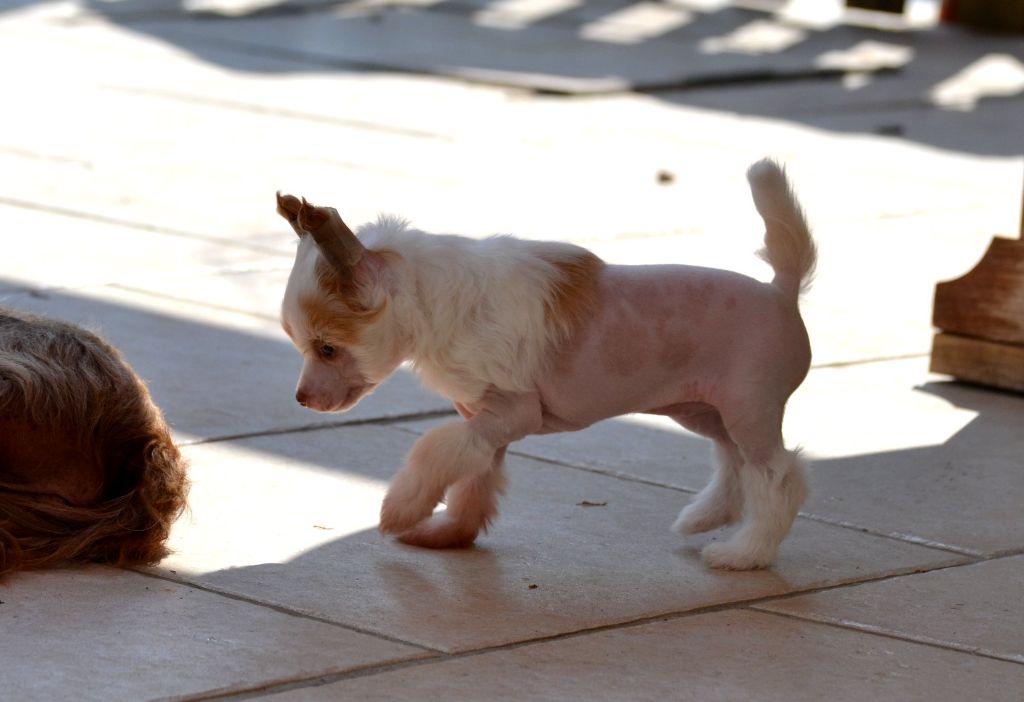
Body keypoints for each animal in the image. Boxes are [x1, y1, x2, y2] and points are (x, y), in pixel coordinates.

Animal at [277, 158, 816, 569]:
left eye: (326, 348)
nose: (300, 399)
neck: (427, 300)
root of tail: (781, 292)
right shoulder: (485, 424)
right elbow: (472, 478)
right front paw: (447, 533)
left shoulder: (511, 413)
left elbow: (435, 453)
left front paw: (401, 510)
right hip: (704, 411)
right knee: (732, 462)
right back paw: (704, 518)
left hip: (747, 411)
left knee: (777, 478)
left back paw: (744, 554)